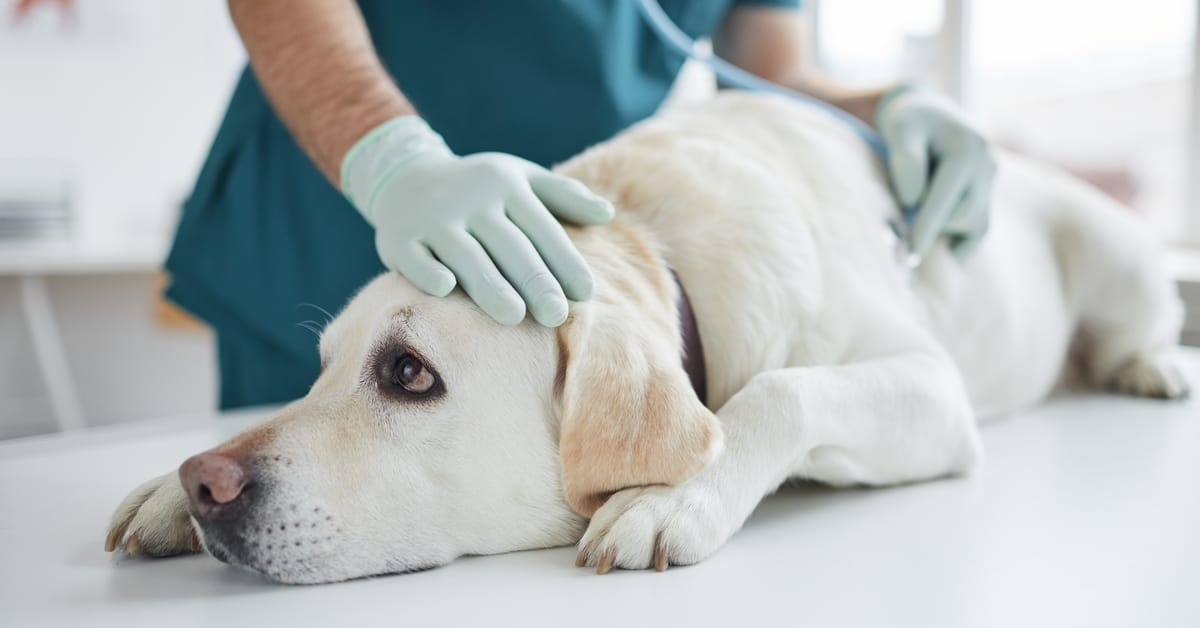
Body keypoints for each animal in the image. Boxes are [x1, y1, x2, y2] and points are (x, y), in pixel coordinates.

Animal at [105, 92, 1190, 585]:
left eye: (409, 373)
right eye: (321, 368)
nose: (206, 483)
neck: (651, 247)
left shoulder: (931, 387)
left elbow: (778, 390)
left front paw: (670, 496)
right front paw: (162, 489)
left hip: (1117, 252)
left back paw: (1151, 365)